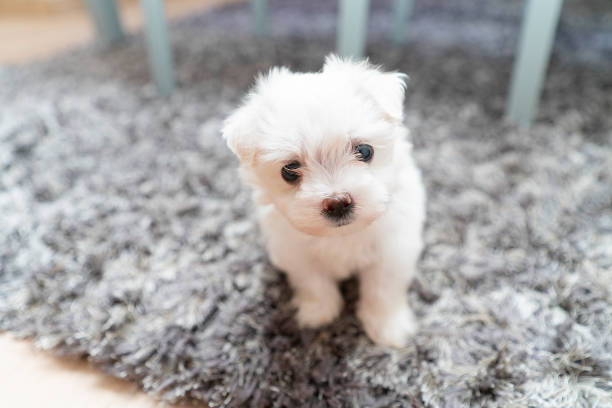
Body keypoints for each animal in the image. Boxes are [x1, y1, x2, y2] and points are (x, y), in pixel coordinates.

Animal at [222, 55, 428, 348]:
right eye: (289, 170)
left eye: (364, 151)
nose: (338, 202)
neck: (341, 236)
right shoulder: (295, 251)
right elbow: (313, 282)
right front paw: (318, 314)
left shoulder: (393, 249)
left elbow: (383, 288)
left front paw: (389, 329)